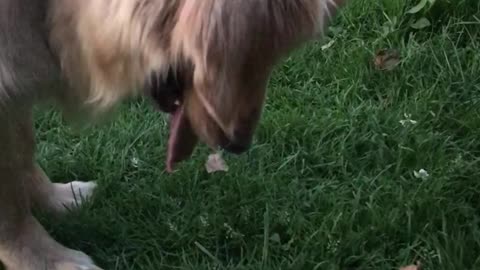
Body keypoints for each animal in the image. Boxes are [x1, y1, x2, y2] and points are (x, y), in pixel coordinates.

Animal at [0, 0, 344, 268]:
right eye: (248, 56)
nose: (239, 144)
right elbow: (11, 207)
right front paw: (47, 259)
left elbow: (24, 152)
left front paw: (54, 199)